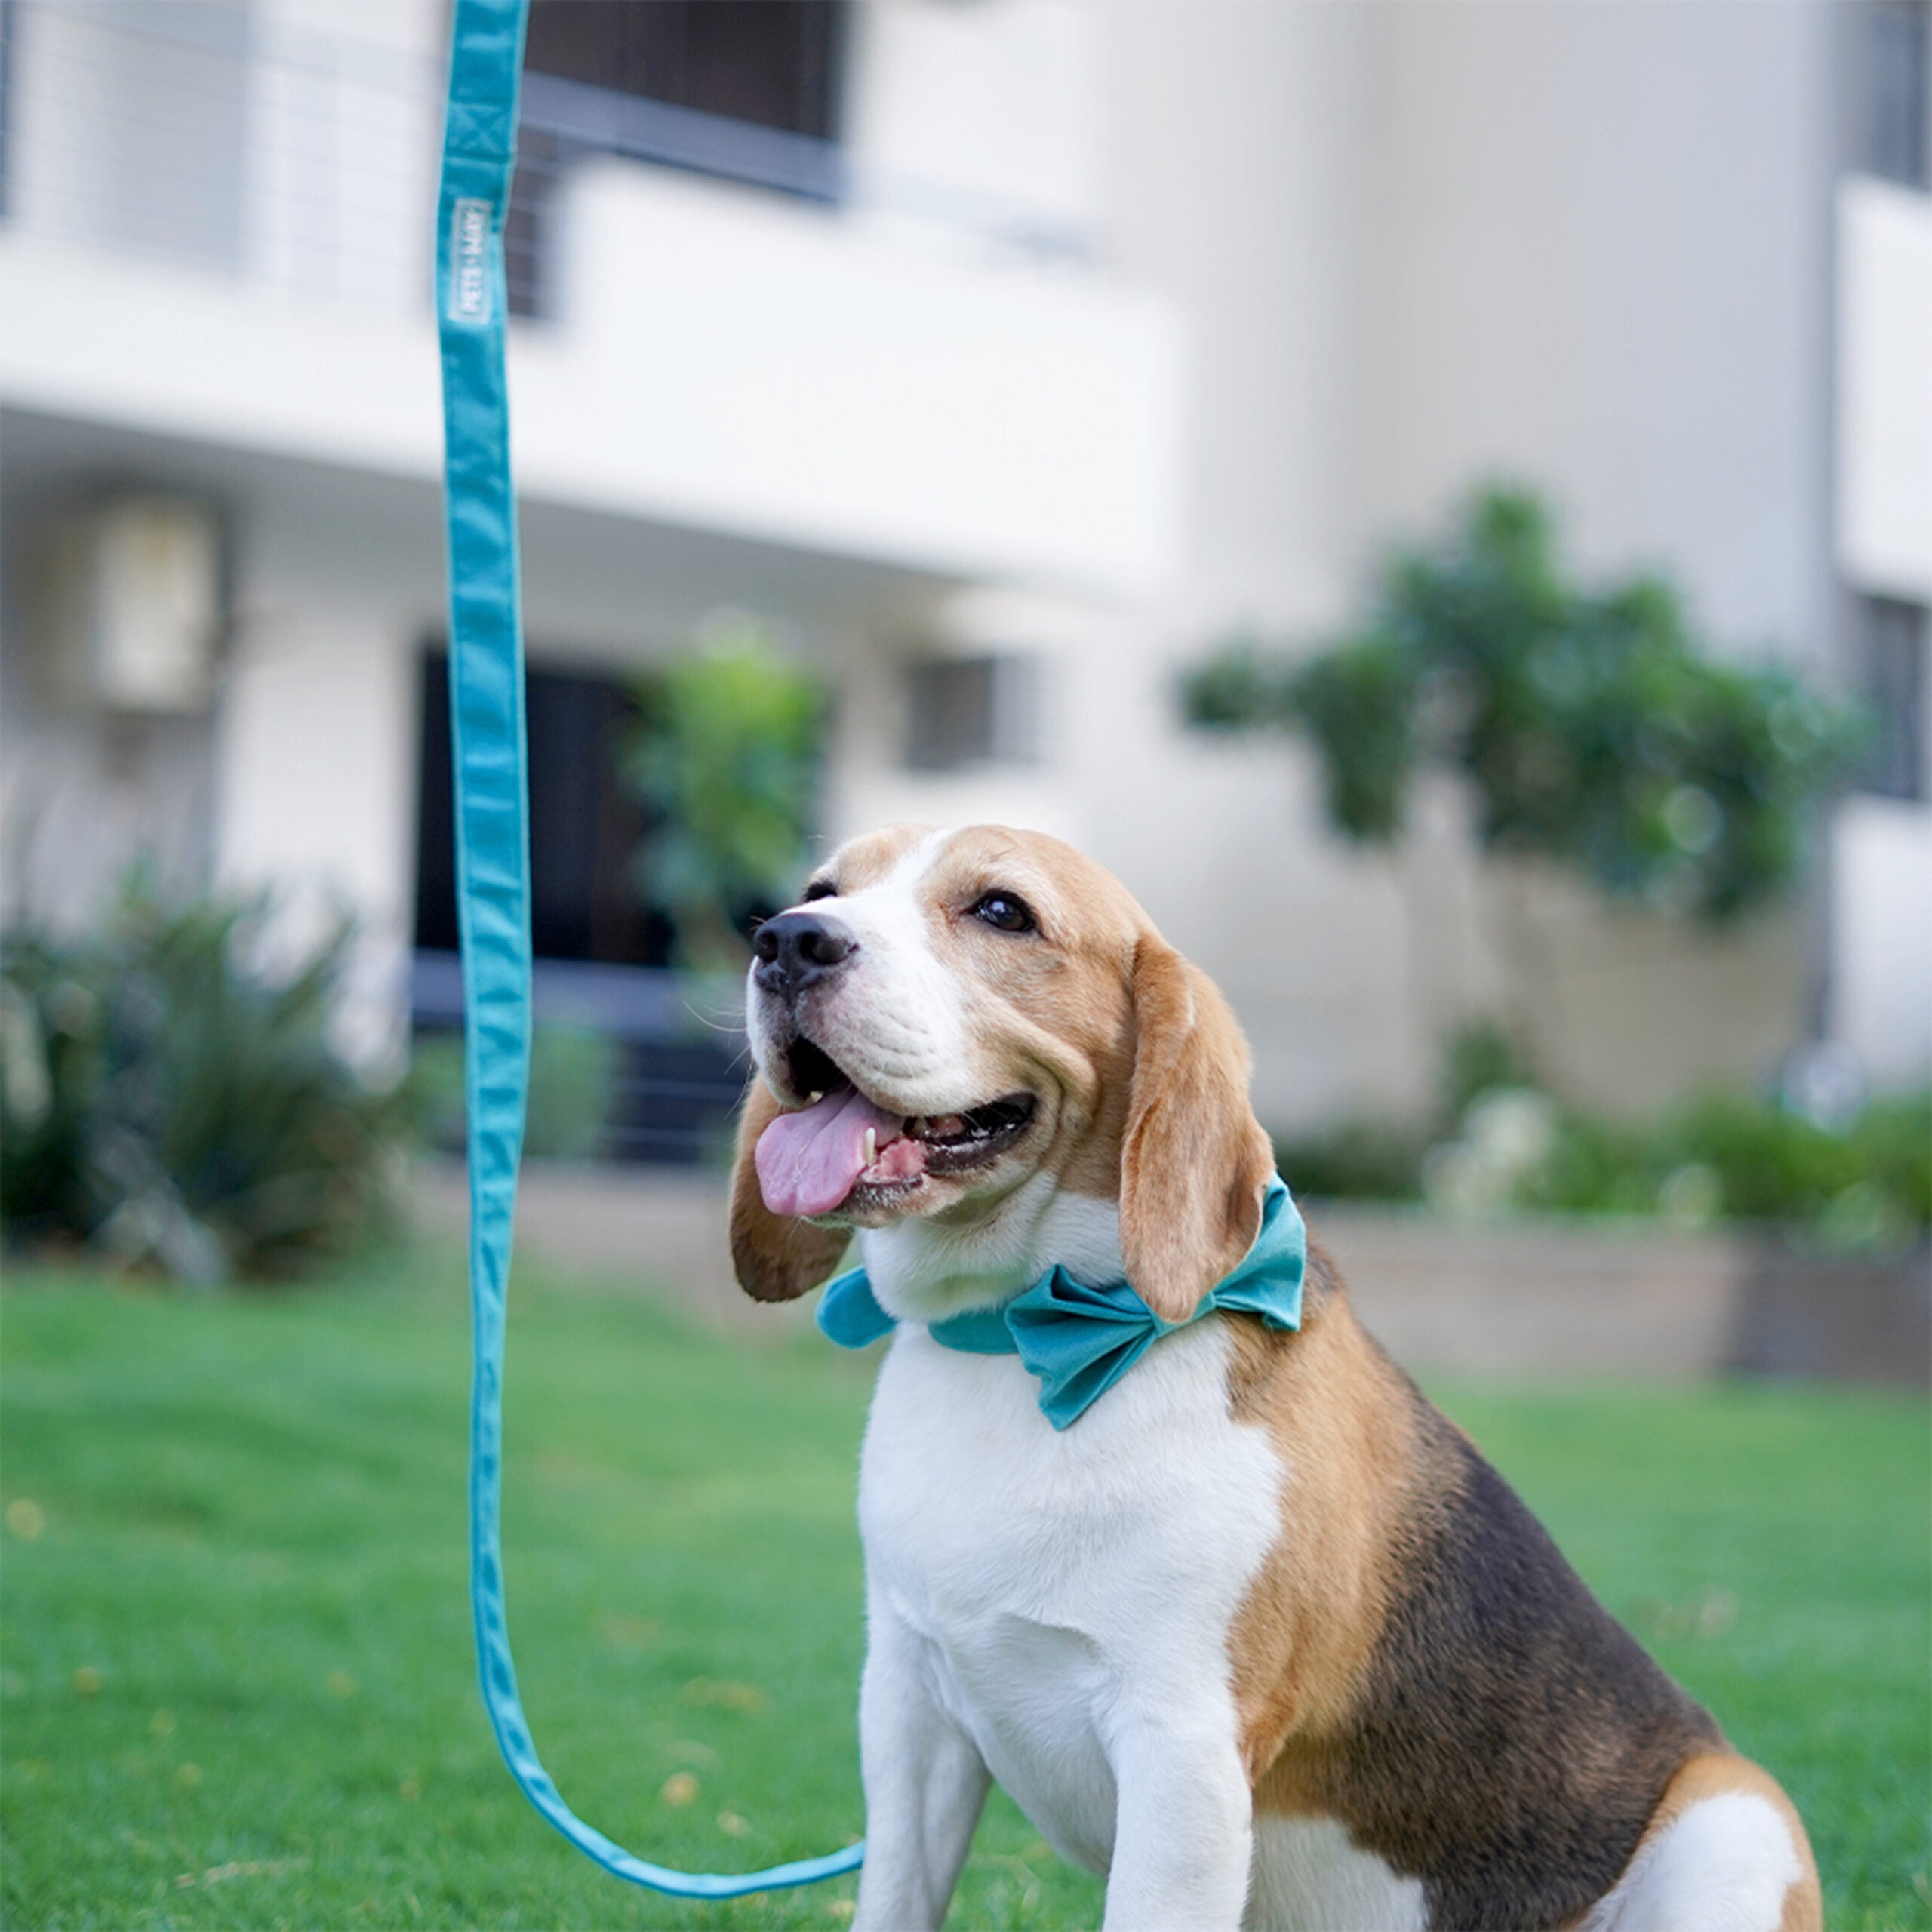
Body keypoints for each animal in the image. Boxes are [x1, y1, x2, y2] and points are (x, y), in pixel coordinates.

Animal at [730, 823, 1816, 1924]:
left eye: (1002, 911)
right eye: (822, 887)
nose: (788, 942)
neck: (1021, 1343)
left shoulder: (1183, 1753)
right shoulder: (911, 1708)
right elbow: (896, 1892)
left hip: (1732, 1824)